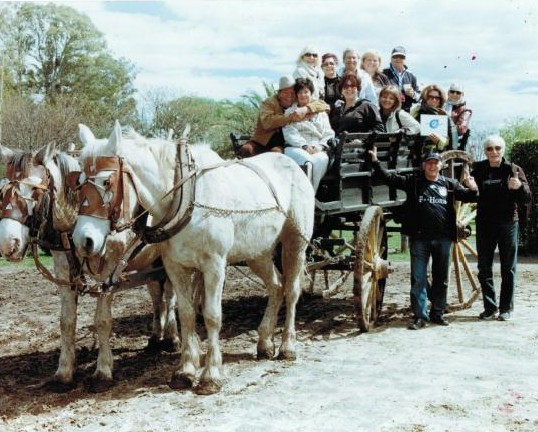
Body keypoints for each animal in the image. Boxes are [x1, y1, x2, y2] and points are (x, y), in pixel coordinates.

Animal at [0, 143, 180, 394]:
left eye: (35, 189)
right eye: (2, 191)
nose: (8, 244)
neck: (77, 218)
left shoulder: (109, 271)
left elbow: (102, 321)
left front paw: (102, 371)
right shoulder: (64, 272)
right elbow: (66, 322)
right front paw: (64, 373)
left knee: (170, 295)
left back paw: (172, 338)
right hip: (150, 262)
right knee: (156, 294)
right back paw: (155, 337)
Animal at [71, 121, 314, 394]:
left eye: (107, 182)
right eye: (78, 182)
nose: (83, 240)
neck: (188, 199)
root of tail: (291, 164)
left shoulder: (214, 266)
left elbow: (211, 315)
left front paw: (211, 375)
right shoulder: (175, 267)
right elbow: (186, 314)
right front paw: (185, 370)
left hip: (295, 244)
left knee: (292, 290)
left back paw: (287, 346)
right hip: (258, 252)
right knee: (275, 286)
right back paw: (264, 342)